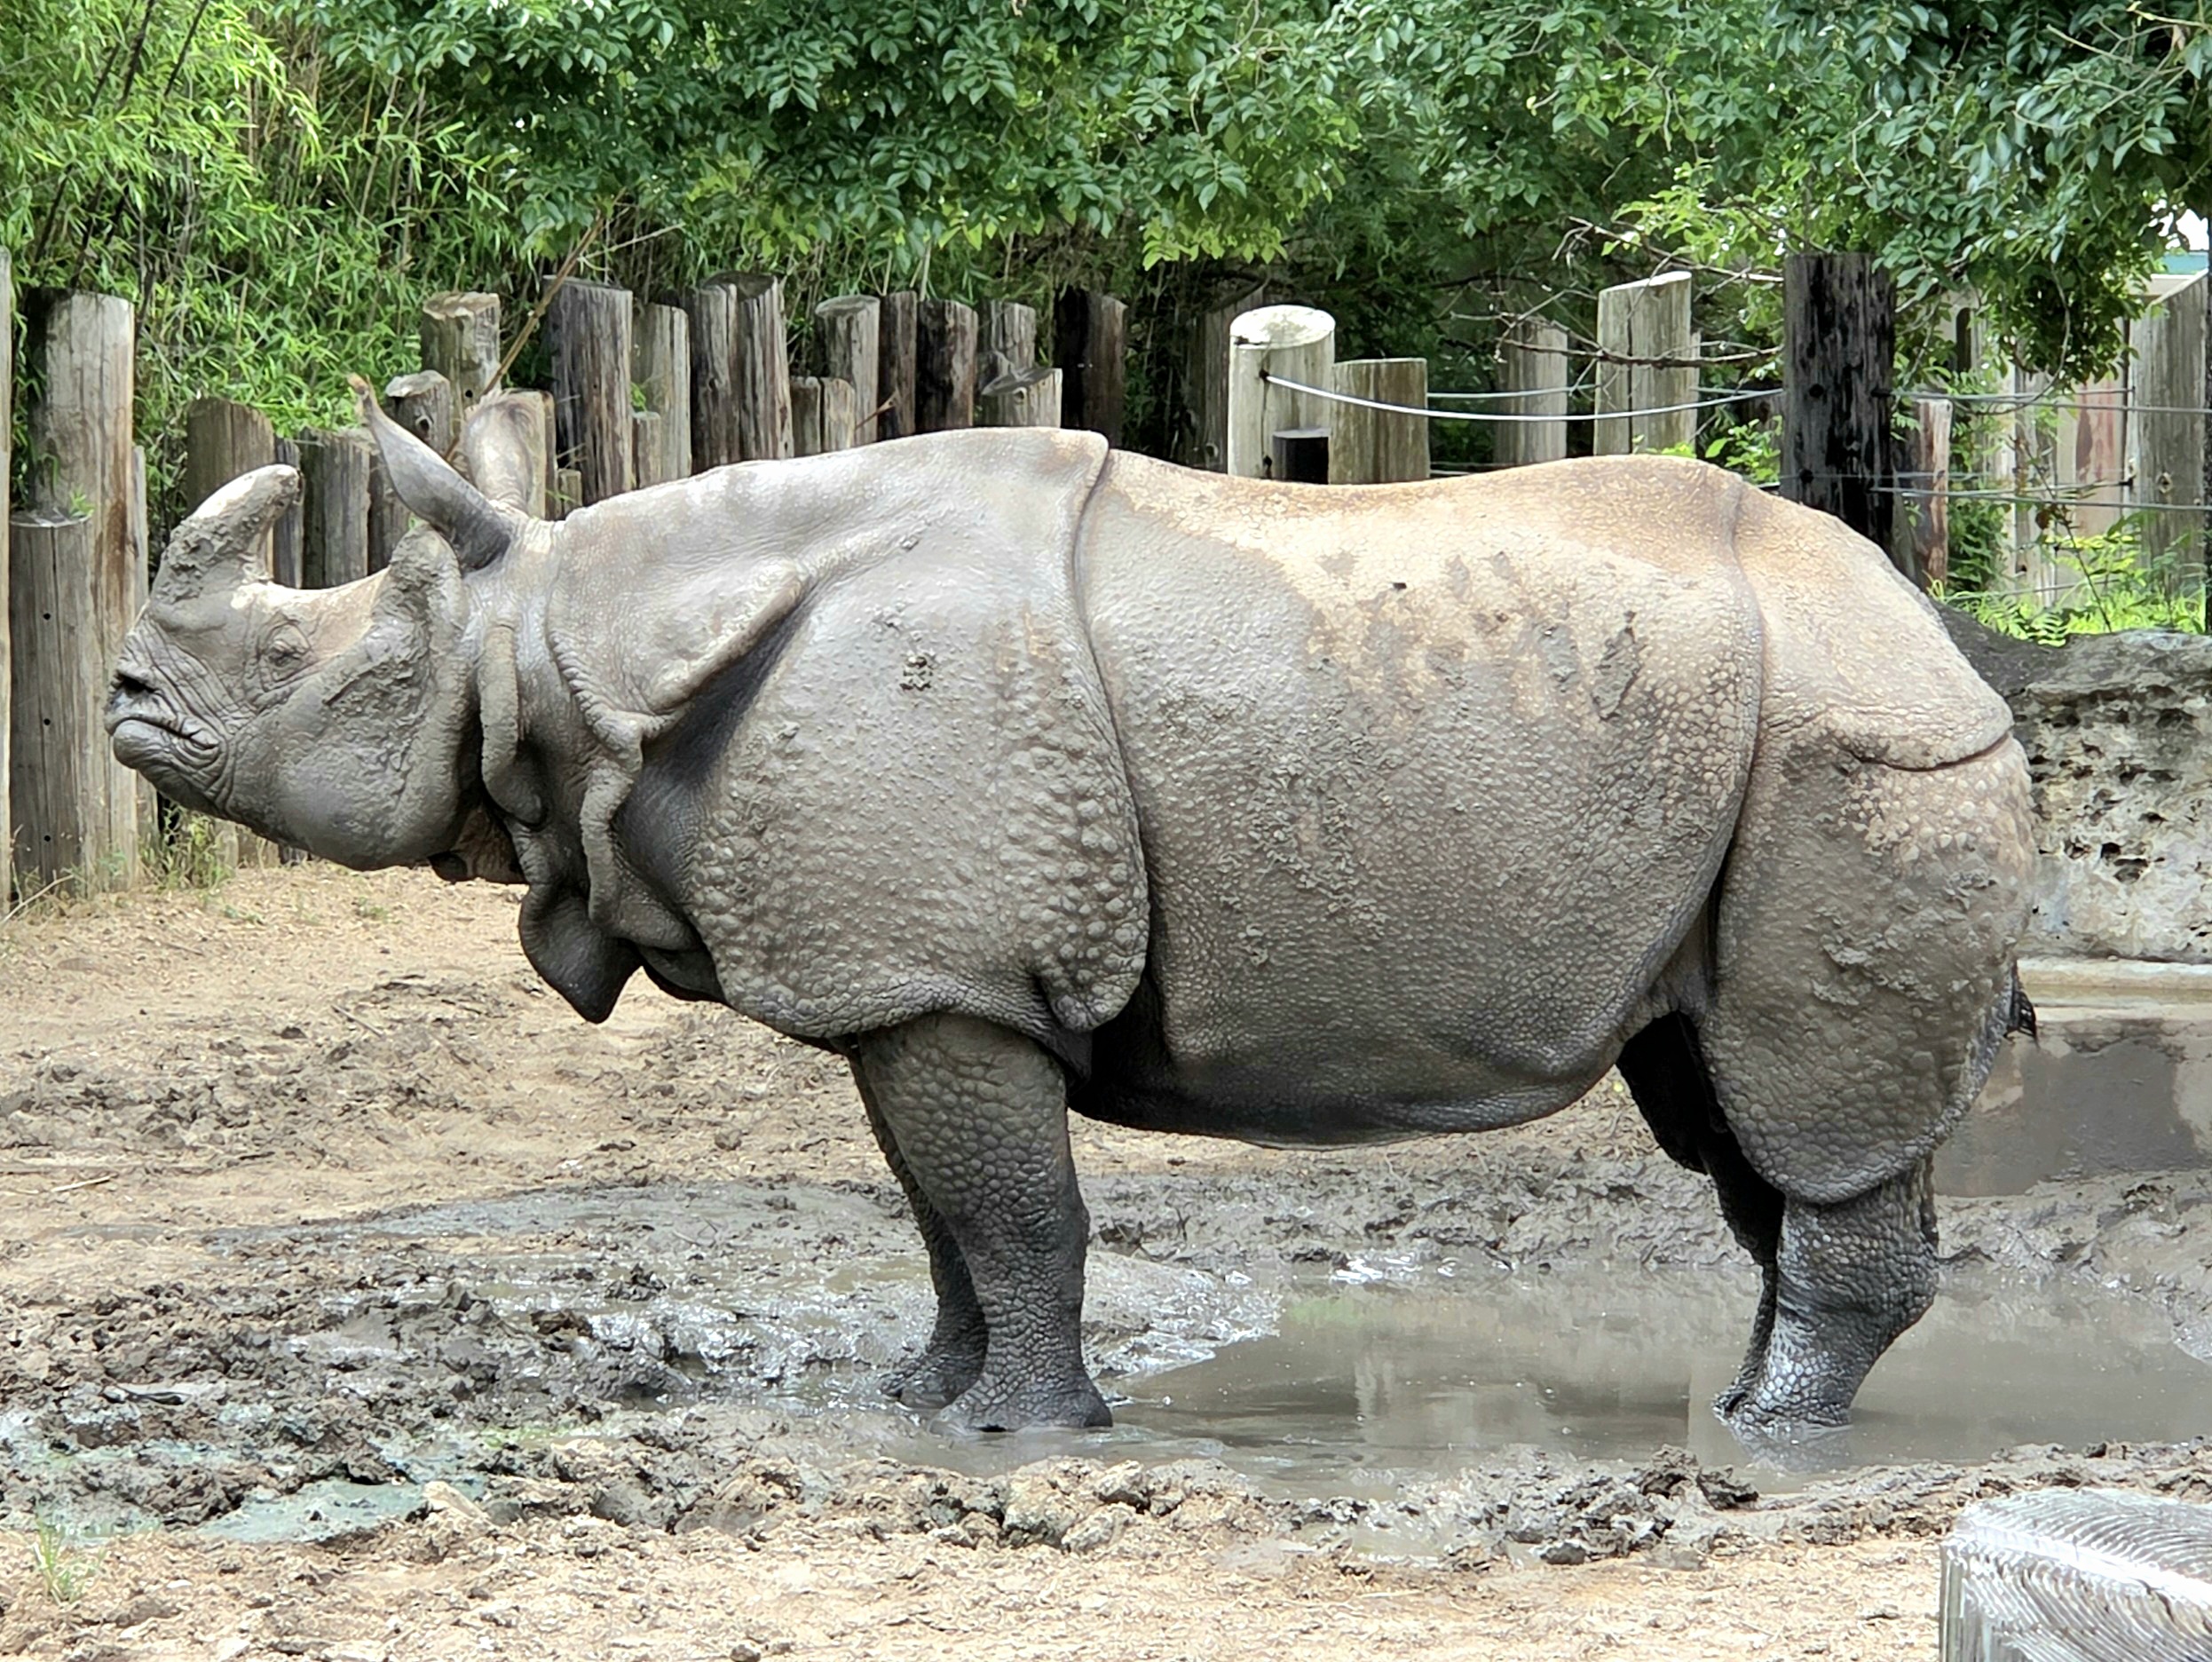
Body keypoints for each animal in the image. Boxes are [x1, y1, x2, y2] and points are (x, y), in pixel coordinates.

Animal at [107, 381, 2033, 1435]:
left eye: (296, 668)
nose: (120, 698)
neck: (569, 640)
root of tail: (1948, 641)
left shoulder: (937, 970)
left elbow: (1013, 1211)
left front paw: (1023, 1432)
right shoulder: (916, 975)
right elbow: (939, 1213)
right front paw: (921, 1400)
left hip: (1854, 756)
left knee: (1803, 1118)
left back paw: (1771, 1441)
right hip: (1760, 757)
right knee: (1731, 1113)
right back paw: (1748, 1406)